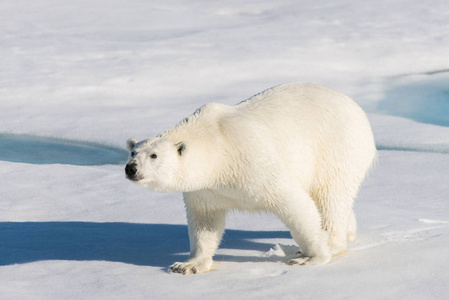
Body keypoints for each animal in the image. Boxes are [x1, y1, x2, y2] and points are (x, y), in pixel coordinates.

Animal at [124, 82, 376, 274]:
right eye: (133, 152)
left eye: (154, 155)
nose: (131, 169)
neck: (216, 146)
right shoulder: (205, 189)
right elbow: (205, 222)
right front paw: (187, 265)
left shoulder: (251, 159)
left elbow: (294, 203)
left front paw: (311, 257)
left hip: (337, 147)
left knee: (330, 195)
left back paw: (331, 243)